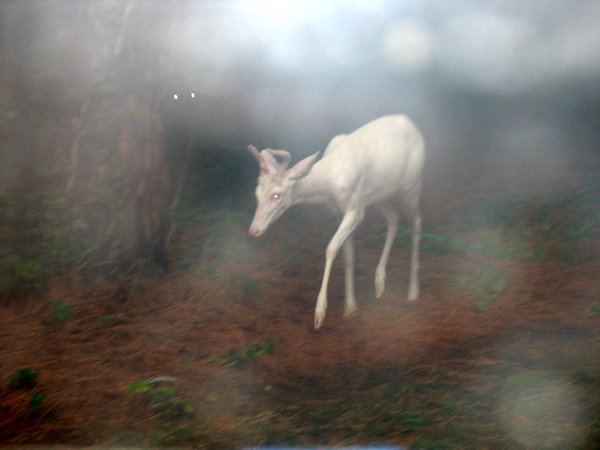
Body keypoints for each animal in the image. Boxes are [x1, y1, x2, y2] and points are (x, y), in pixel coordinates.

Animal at [246, 114, 424, 328]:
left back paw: (413, 291)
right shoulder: (341, 211)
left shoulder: (355, 209)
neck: (329, 184)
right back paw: (380, 282)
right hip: (378, 196)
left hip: (411, 185)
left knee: (416, 222)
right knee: (394, 218)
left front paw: (320, 312)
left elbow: (331, 248)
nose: (254, 230)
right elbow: (347, 254)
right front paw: (350, 306)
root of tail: (412, 124)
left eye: (276, 195)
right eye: (256, 193)